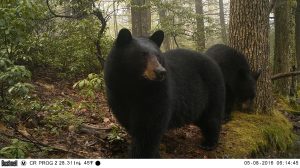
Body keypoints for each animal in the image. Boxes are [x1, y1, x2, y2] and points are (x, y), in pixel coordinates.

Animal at [104, 28, 224, 158]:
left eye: (157, 55)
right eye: (143, 54)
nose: (160, 71)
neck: (136, 84)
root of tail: (211, 59)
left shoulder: (159, 93)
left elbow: (149, 126)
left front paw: (143, 154)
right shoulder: (117, 92)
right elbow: (128, 121)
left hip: (213, 88)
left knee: (212, 116)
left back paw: (209, 143)